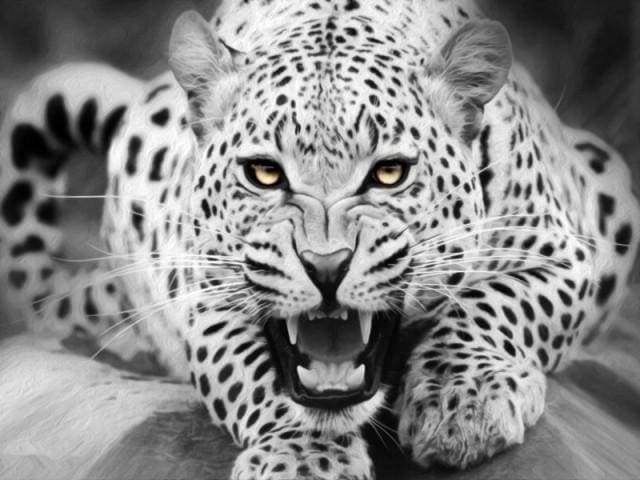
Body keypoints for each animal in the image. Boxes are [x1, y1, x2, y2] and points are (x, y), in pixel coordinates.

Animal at [1, 0, 638, 478]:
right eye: (264, 173)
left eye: (389, 173)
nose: (326, 266)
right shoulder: (207, 295)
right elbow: (253, 375)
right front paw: (305, 459)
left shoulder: (562, 250)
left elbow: (497, 305)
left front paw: (463, 402)